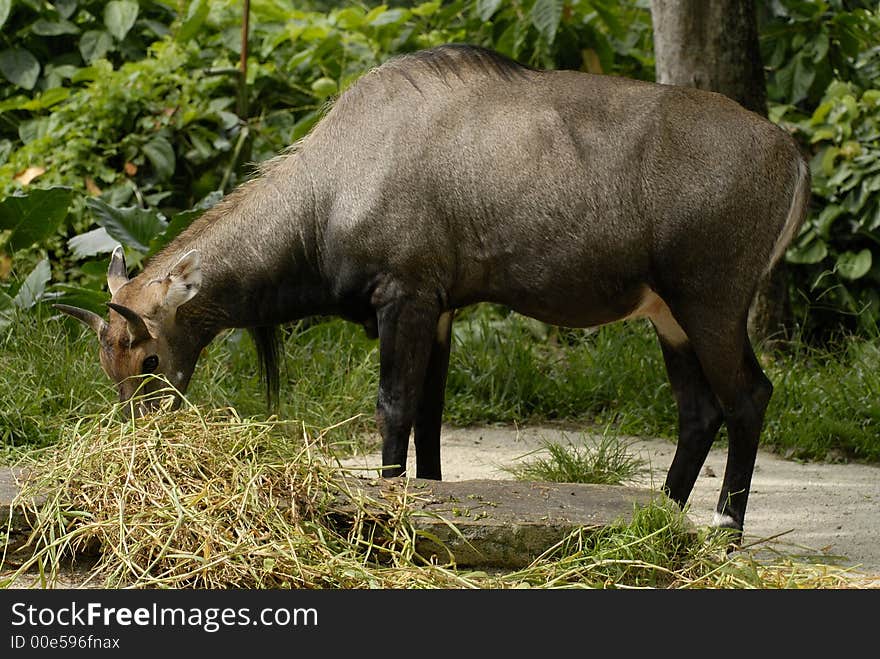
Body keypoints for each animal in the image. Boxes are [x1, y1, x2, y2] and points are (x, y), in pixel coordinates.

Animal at [56, 43, 812, 532]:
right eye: (108, 366)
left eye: (150, 356)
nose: (136, 448)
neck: (334, 179)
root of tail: (789, 152)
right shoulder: (442, 309)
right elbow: (430, 412)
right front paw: (430, 497)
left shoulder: (406, 296)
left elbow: (394, 406)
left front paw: (389, 505)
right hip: (669, 316)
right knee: (699, 410)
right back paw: (662, 514)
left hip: (711, 304)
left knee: (748, 397)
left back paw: (724, 526)